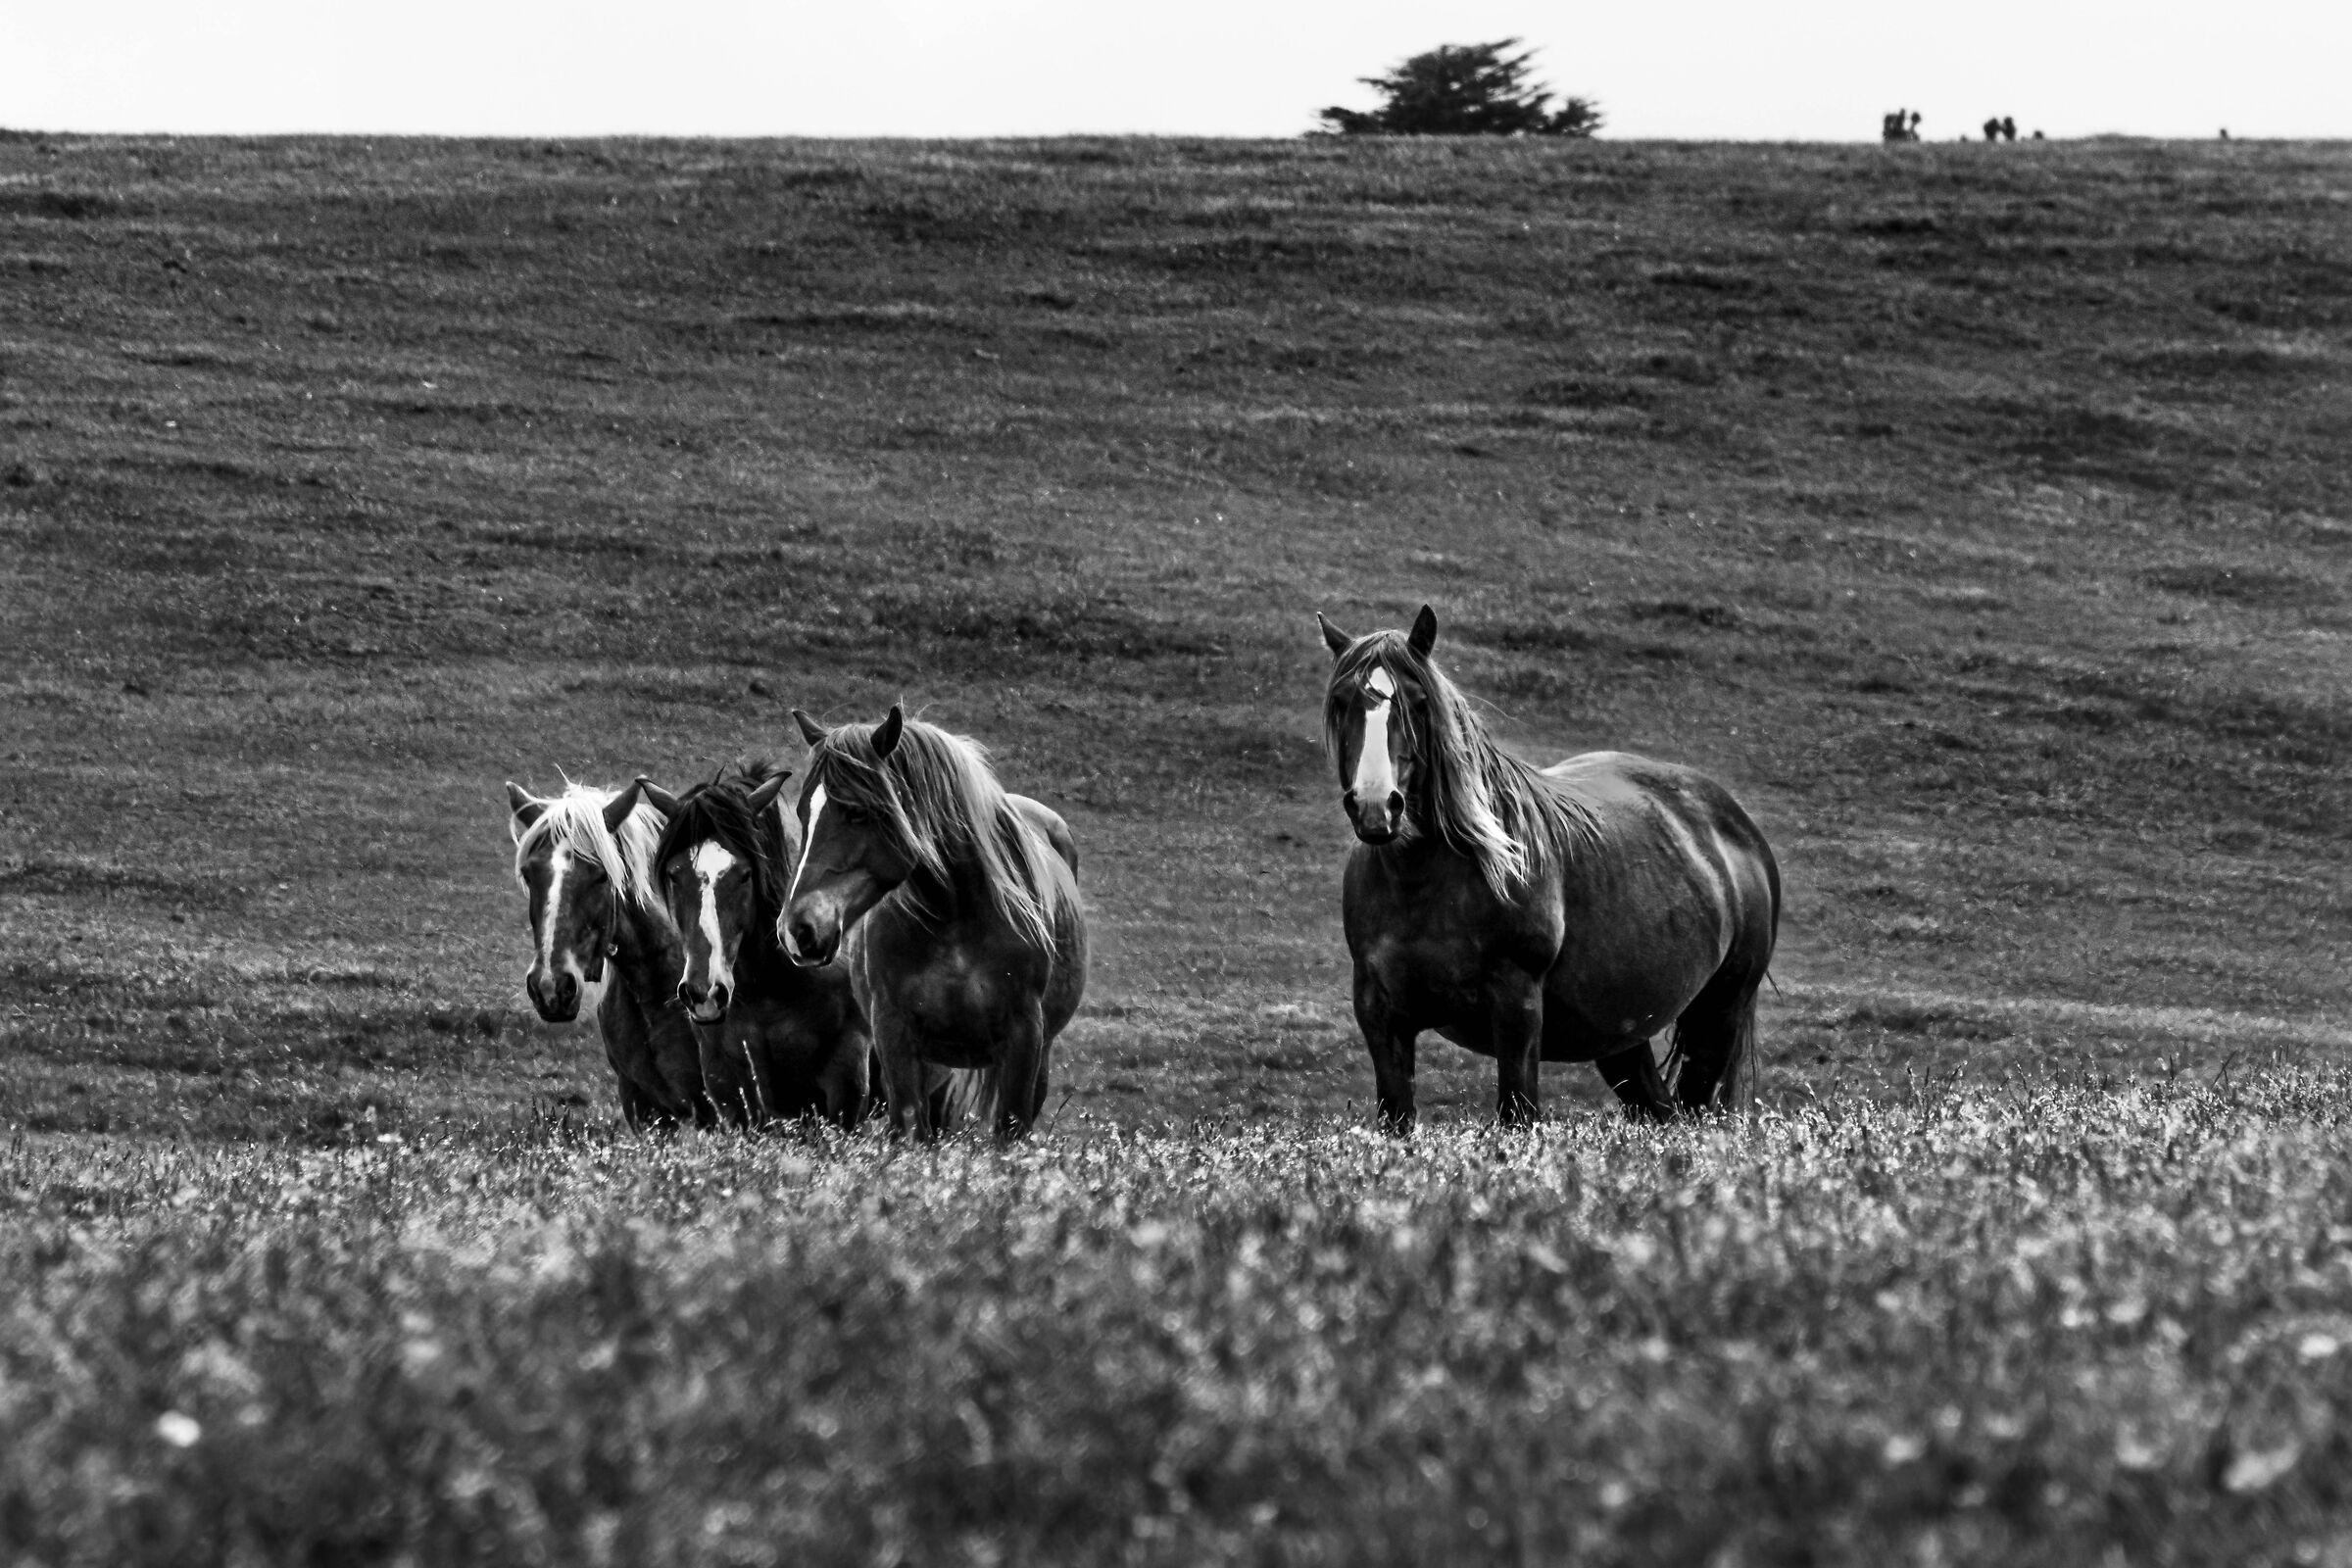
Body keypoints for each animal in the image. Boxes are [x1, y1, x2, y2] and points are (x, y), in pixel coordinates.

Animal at [633, 762, 874, 1130]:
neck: (774, 985)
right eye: (675, 874)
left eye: (745, 874)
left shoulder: (846, 1082)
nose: (704, 993)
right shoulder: (729, 1087)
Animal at [780, 706, 1086, 1141]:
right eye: (803, 812)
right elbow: (911, 1128)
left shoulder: (1025, 1036)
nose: (797, 929)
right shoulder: (894, 1035)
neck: (955, 917)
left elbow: (1009, 1131)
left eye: (857, 811)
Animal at [1316, 605, 1780, 1132]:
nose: (1376, 805)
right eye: (1342, 701)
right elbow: (1397, 1119)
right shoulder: (1380, 1015)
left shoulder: (1517, 1009)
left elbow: (1517, 1114)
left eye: (1417, 701)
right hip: (1620, 1037)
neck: (1424, 884)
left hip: (1719, 1017)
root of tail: (1736, 824)